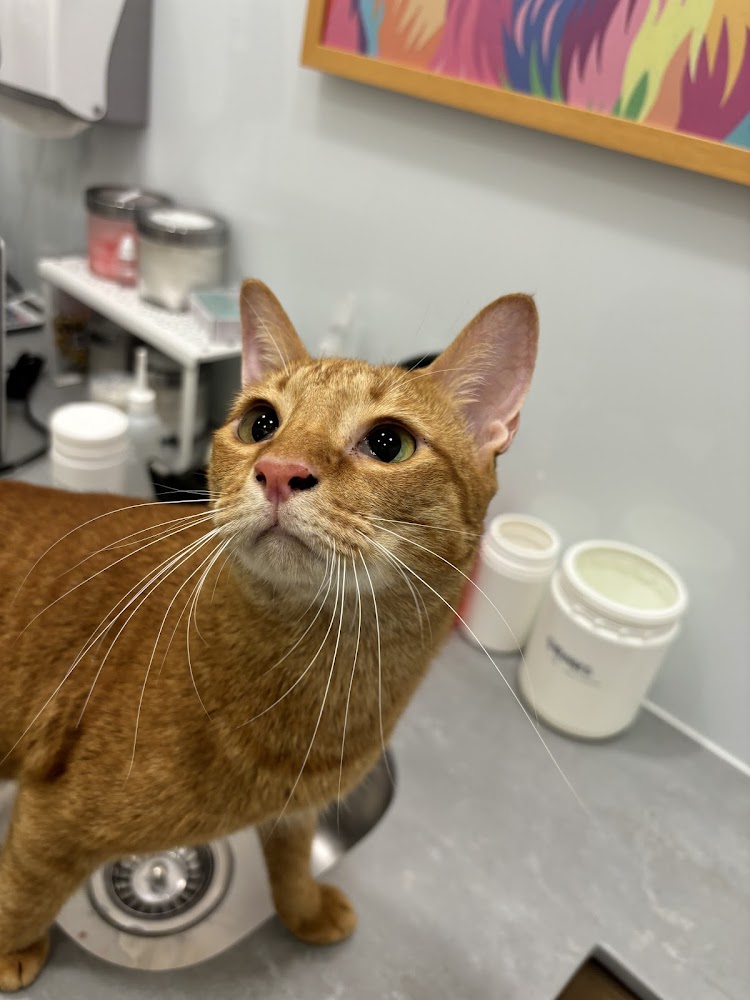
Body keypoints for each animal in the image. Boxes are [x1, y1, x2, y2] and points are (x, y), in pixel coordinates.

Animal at [0, 279, 537, 991]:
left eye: (389, 443)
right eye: (260, 423)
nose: (280, 469)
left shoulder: (298, 810)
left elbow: (291, 863)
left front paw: (303, 912)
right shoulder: (52, 822)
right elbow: (21, 891)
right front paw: (9, 951)